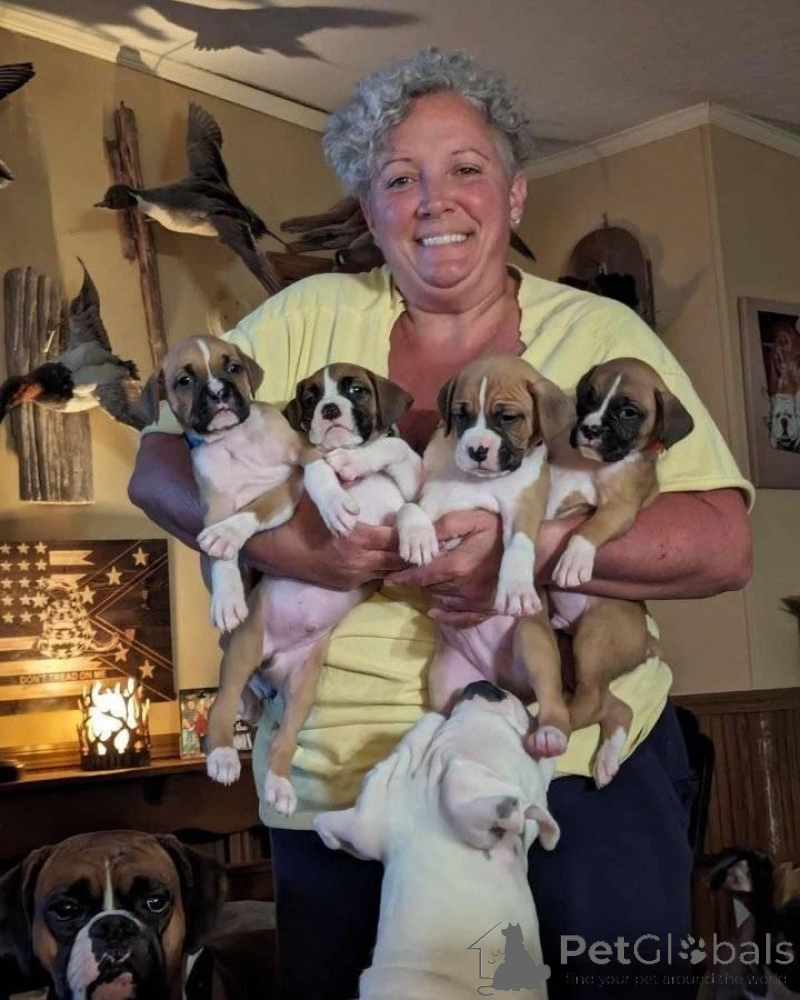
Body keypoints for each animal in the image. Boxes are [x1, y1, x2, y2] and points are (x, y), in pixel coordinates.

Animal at [201, 362, 422, 817]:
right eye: (310, 397)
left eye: (356, 389)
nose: (330, 409)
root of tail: (271, 661)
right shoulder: (291, 495)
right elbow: (259, 510)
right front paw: (226, 534)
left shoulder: (399, 517)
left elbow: (408, 493)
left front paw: (418, 534)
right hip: (245, 647)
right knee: (223, 702)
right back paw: (224, 755)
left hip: (304, 687)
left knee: (285, 740)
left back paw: (280, 786)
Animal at [395, 353, 572, 755]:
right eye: (460, 415)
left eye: (507, 417)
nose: (477, 450)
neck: (476, 482)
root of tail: (503, 680)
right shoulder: (430, 499)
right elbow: (408, 509)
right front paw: (417, 539)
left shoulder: (524, 508)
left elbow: (519, 546)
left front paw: (516, 588)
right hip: (444, 677)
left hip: (533, 641)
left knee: (554, 701)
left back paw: (550, 733)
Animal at [542, 357, 694, 784]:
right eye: (588, 398)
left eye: (629, 412)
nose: (590, 429)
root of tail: (645, 643)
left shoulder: (619, 509)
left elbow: (589, 528)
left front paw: (574, 559)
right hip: (573, 653)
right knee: (616, 707)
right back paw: (607, 758)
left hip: (595, 639)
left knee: (592, 703)